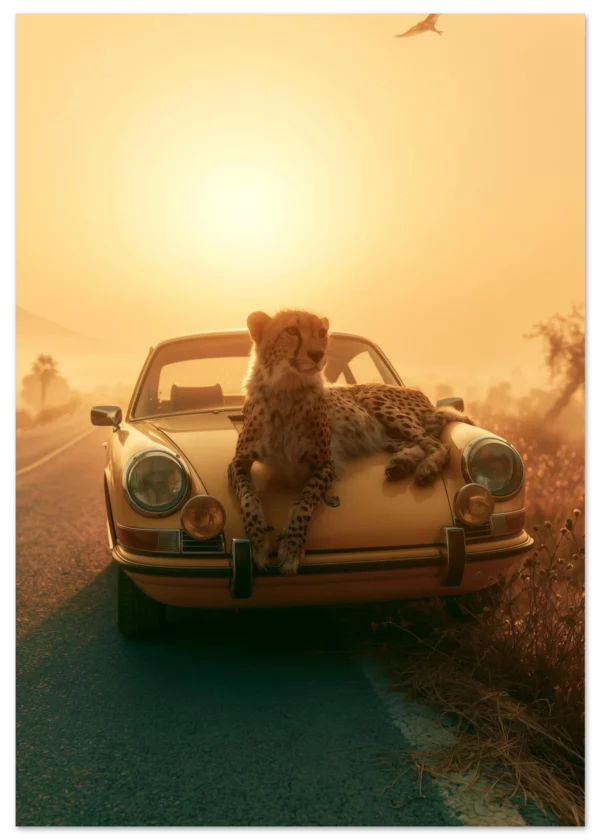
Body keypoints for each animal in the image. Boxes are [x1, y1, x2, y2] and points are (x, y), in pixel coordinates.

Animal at [227, 309, 474, 576]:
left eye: (321, 333)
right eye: (291, 330)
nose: (318, 354)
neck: (286, 389)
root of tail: (425, 398)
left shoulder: (326, 464)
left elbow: (304, 503)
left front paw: (292, 546)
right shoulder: (237, 463)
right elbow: (248, 499)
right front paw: (258, 541)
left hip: (375, 399)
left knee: (438, 444)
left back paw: (426, 469)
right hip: (382, 435)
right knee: (418, 443)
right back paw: (401, 464)